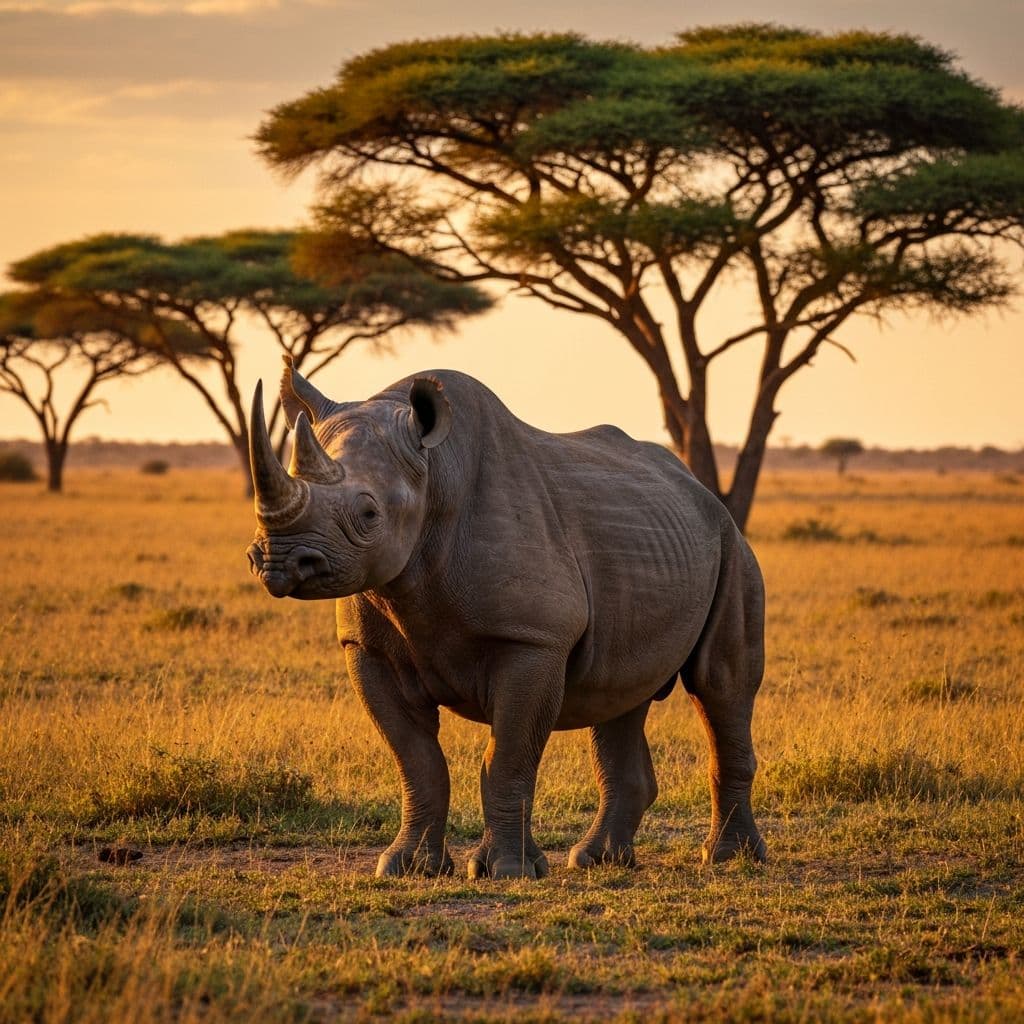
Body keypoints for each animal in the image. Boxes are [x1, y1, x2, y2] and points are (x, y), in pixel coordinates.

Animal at [246, 359, 766, 879]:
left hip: (730, 544)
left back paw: (729, 858)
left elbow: (507, 757)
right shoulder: (366, 648)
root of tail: (699, 490)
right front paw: (407, 867)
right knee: (619, 691)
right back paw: (597, 859)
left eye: (369, 513)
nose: (280, 560)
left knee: (719, 684)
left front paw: (507, 871)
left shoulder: (534, 641)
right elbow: (416, 761)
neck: (434, 478)